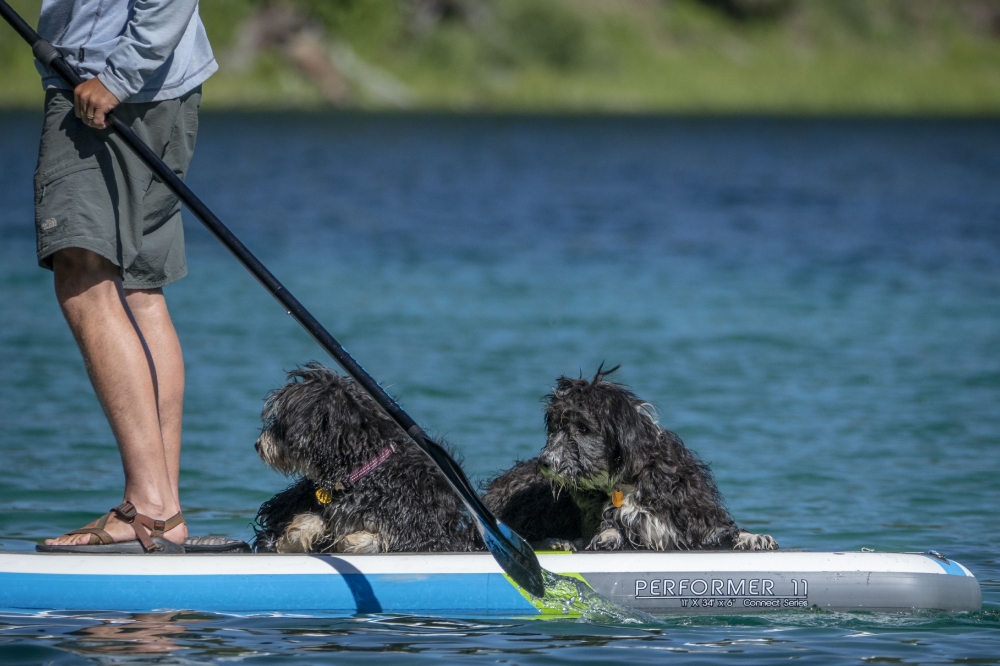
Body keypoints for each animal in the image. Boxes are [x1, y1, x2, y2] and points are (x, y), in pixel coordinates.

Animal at [484, 366, 780, 548]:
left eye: (583, 428)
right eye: (556, 426)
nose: (545, 463)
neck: (629, 481)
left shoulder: (694, 514)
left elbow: (722, 531)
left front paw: (754, 537)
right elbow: (609, 528)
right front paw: (607, 536)